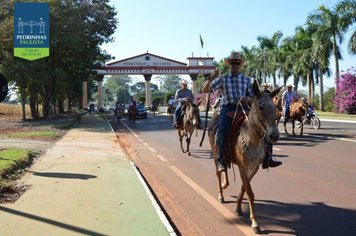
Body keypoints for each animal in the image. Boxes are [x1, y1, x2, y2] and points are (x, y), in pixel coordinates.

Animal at [209, 80, 280, 233]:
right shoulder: (242, 167)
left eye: (274, 107)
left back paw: (225, 184)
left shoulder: (254, 168)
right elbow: (250, 192)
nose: (274, 135)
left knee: (225, 168)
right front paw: (255, 223)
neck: (252, 139)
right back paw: (221, 193)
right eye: (260, 107)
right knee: (219, 171)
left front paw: (238, 208)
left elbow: (244, 187)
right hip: (216, 154)